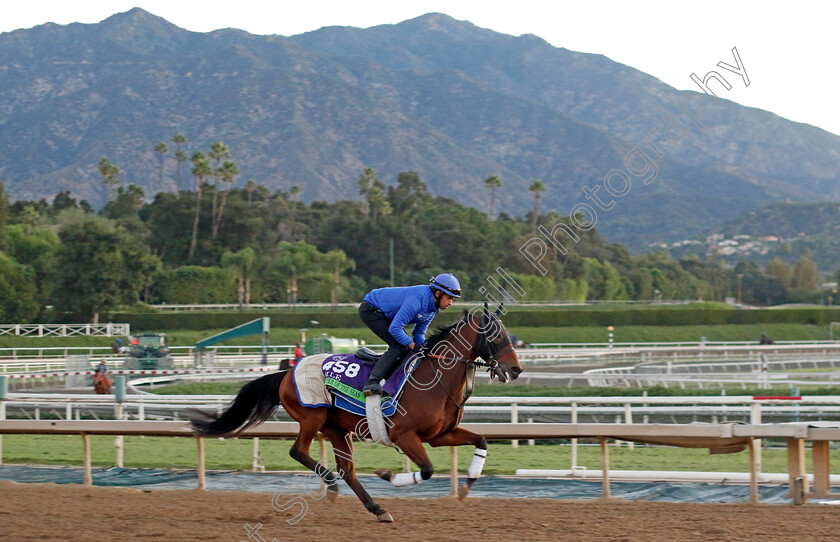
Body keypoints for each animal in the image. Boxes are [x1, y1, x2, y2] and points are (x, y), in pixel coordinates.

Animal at [191, 306, 520, 524]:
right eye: (495, 335)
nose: (516, 369)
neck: (436, 377)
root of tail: (287, 371)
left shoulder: (439, 435)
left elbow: (482, 441)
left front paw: (466, 486)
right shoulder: (404, 434)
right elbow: (426, 469)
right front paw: (388, 475)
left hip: (337, 428)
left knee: (347, 470)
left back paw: (377, 509)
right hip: (312, 417)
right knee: (299, 451)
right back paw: (332, 485)